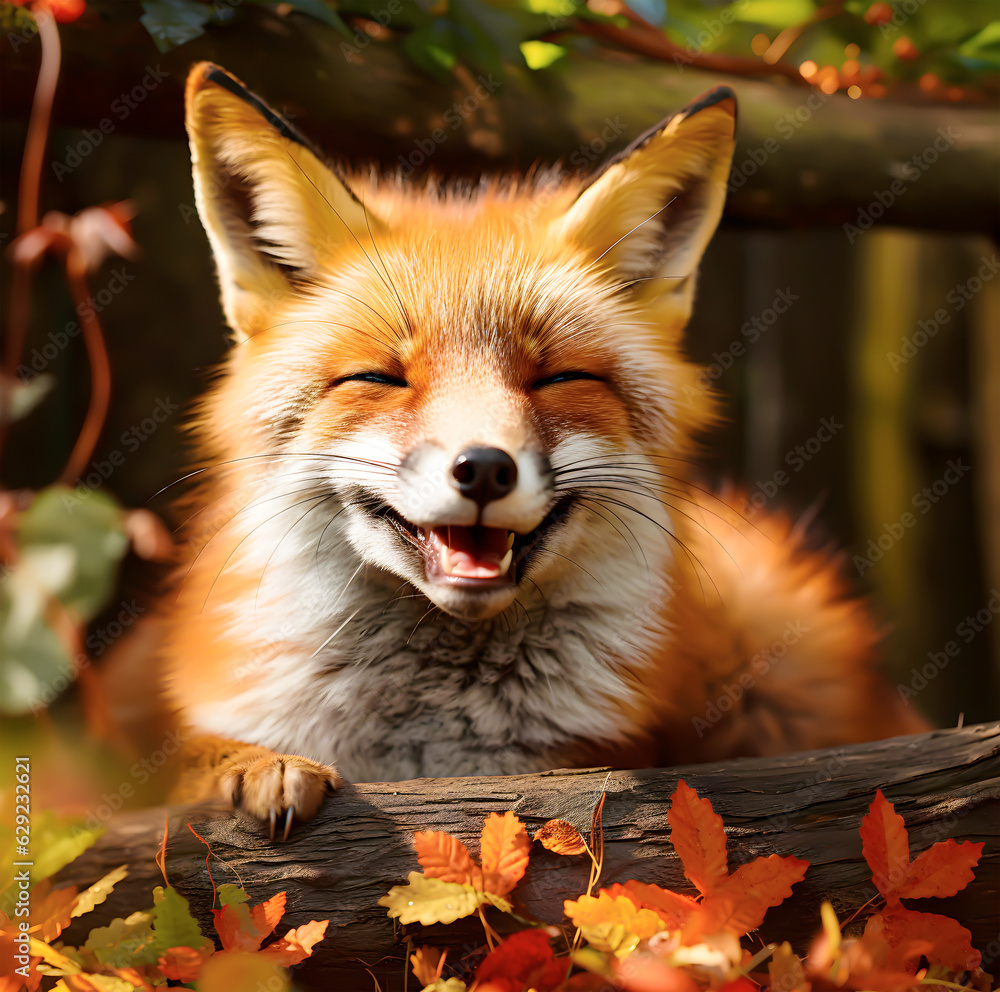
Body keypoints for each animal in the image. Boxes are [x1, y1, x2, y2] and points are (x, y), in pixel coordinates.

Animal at [166, 62, 927, 841]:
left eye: (559, 378)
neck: (436, 739)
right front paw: (253, 764)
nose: (483, 468)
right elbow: (185, 763)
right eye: (379, 378)